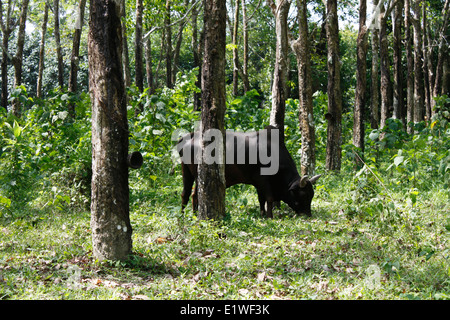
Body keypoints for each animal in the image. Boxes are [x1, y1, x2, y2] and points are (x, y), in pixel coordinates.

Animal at [176, 125, 320, 218]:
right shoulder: (262, 179)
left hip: (188, 173)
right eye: (303, 195)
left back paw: (187, 215)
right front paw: (270, 216)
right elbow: (268, 198)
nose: (308, 214)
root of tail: (191, 136)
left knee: (187, 194)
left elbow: (261, 199)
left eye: (311, 195)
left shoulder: (258, 183)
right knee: (194, 194)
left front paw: (262, 214)